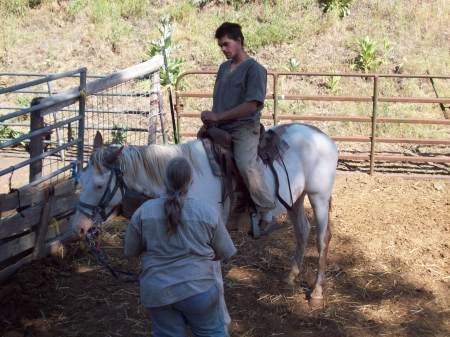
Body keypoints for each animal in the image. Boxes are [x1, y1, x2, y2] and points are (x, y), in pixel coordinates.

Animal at [71, 122, 338, 304]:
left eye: (98, 185)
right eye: (80, 180)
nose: (79, 227)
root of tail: (323, 137)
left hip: (319, 196)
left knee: (322, 238)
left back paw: (316, 292)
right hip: (296, 199)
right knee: (302, 232)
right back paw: (291, 277)